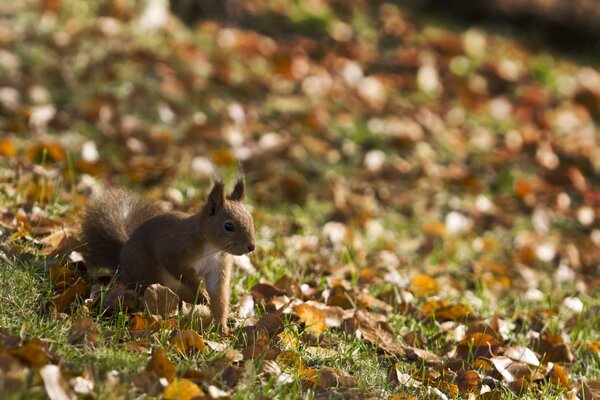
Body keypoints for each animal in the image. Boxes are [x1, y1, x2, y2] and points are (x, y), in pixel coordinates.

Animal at [80, 177, 255, 332]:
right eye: (229, 226)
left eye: (251, 220)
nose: (251, 247)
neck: (212, 248)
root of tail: (122, 262)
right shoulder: (175, 250)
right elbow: (179, 269)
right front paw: (201, 292)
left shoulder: (219, 267)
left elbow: (218, 293)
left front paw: (221, 326)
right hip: (146, 271)